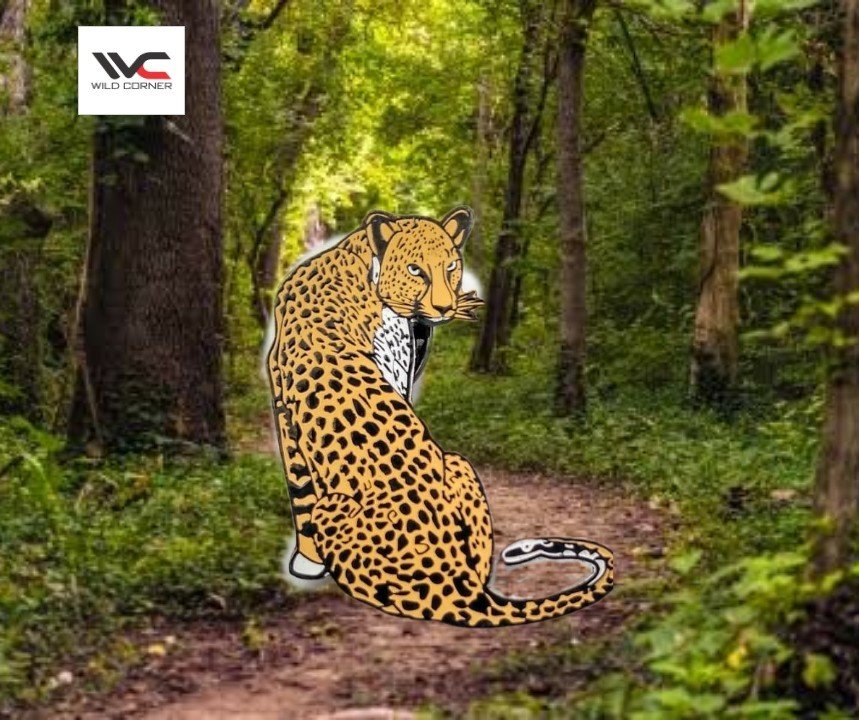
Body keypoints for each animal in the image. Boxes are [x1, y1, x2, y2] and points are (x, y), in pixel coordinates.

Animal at [267, 206, 614, 627]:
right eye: (415, 269)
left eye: (450, 266)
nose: (446, 307)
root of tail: (459, 586)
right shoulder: (285, 407)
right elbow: (299, 489)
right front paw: (306, 560)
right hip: (453, 466)